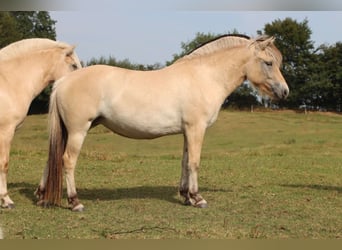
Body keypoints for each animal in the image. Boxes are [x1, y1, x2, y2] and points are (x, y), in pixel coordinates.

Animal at [36, 35, 288, 211]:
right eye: (268, 63)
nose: (284, 91)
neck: (204, 77)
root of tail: (64, 80)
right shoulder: (196, 129)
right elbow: (194, 162)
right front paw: (198, 198)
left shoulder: (187, 131)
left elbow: (185, 162)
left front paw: (186, 196)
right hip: (78, 130)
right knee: (67, 160)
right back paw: (75, 202)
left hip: (68, 131)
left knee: (52, 158)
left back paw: (41, 196)